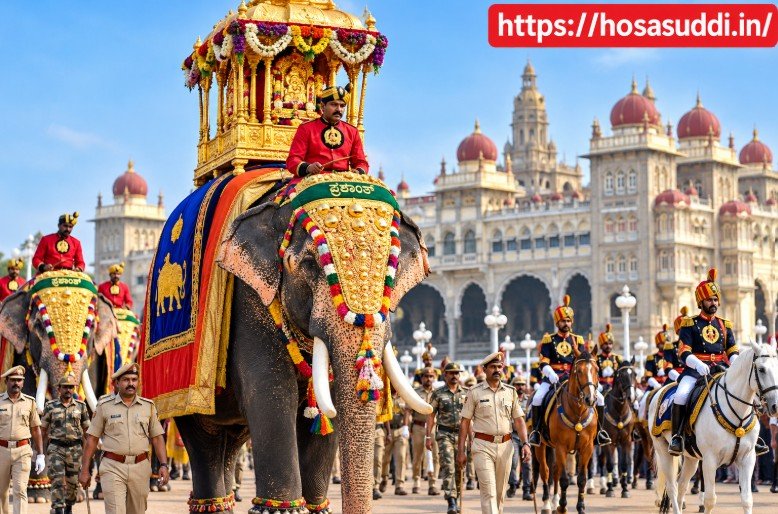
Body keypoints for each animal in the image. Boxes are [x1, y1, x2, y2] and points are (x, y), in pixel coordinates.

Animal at [175, 183, 431, 514]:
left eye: (393, 265)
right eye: (309, 262)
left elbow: (326, 405)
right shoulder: (247, 298)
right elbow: (272, 391)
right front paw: (280, 506)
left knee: (229, 444)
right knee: (203, 440)